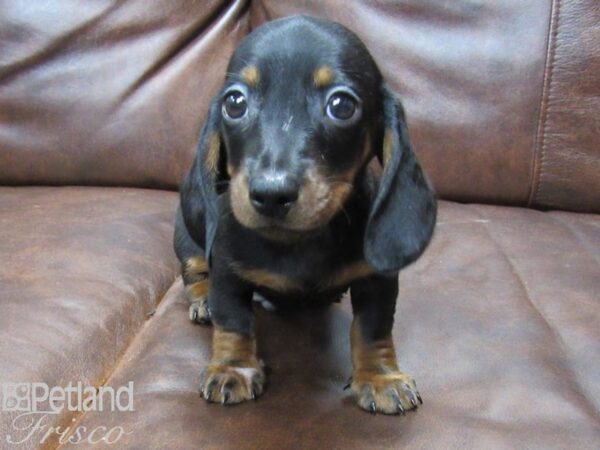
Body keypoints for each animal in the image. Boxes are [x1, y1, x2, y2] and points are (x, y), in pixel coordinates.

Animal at [173, 14, 436, 414]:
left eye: (341, 105)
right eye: (234, 102)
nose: (270, 194)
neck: (300, 242)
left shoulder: (376, 278)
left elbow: (373, 329)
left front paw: (380, 377)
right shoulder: (228, 270)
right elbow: (232, 320)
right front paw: (233, 368)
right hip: (187, 238)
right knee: (194, 273)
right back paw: (203, 301)